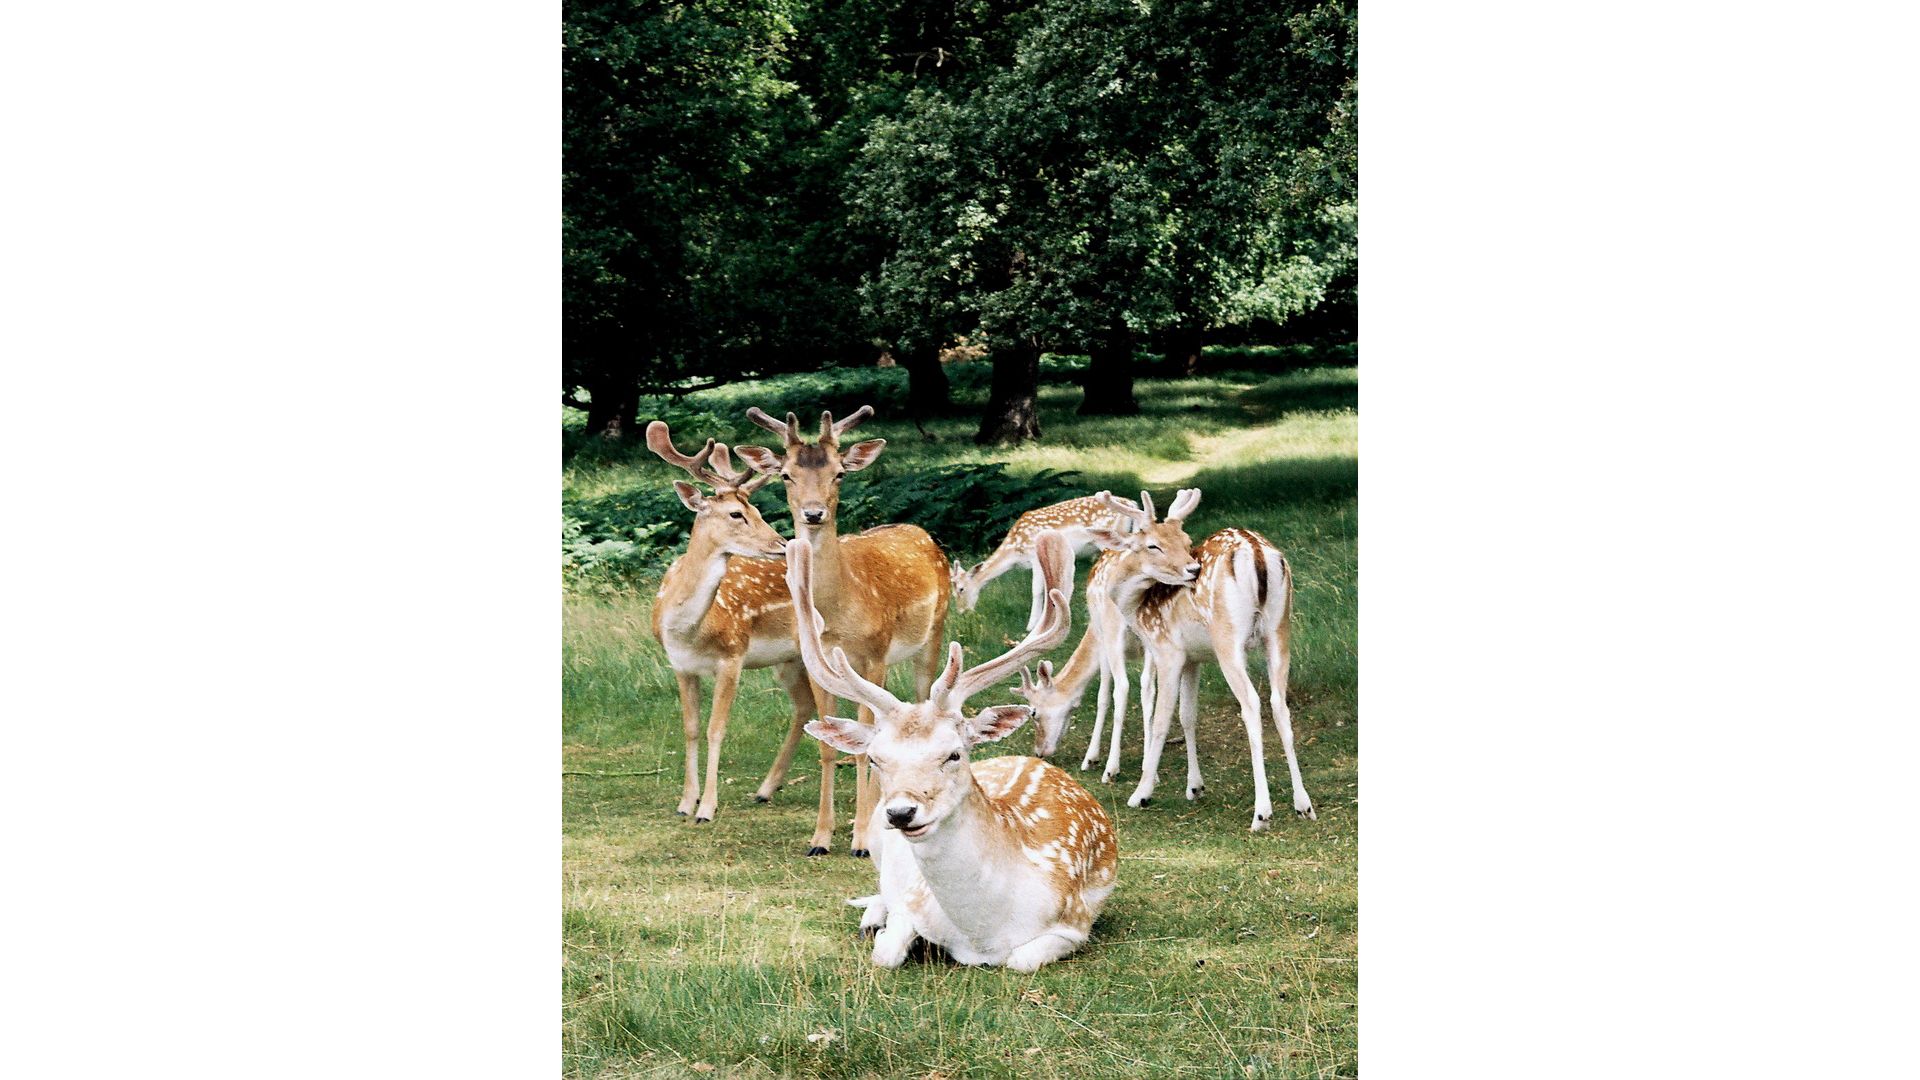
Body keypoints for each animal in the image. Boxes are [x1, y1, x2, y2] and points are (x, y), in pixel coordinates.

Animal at [643, 422, 853, 855]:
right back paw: (765, 788)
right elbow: (690, 727)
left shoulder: (732, 657)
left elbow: (716, 729)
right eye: (736, 513)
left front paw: (707, 808)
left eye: (757, 510)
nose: (781, 543)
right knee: (804, 706)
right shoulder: (680, 666)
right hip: (789, 661)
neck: (687, 630)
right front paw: (685, 803)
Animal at [734, 405, 953, 858]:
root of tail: (922, 532)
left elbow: (865, 748)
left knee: (922, 696)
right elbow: (827, 745)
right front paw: (819, 838)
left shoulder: (874, 655)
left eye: (838, 473)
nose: (813, 513)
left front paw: (861, 841)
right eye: (786, 475)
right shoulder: (819, 666)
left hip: (934, 630)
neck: (837, 614)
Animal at [786, 530, 1119, 972]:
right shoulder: (912, 899)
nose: (901, 812)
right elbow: (887, 951)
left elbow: (1022, 959)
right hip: (875, 839)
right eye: (876, 758)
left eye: (955, 753)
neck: (983, 933)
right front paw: (883, 930)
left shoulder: (1074, 923)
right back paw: (871, 915)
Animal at [951, 494, 1145, 631]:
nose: (961, 612)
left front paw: (1031, 626)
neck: (1015, 550)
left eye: (961, 589)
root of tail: (1132, 503)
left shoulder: (1034, 556)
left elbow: (1037, 589)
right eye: (952, 593)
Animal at [1088, 489, 1316, 830]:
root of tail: (1257, 551)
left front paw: (1142, 792)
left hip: (1228, 637)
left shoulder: (1167, 650)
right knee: (1279, 702)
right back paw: (1303, 805)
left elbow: (1161, 719)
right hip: (1280, 628)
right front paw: (1194, 787)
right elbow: (1187, 716)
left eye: (1185, 540)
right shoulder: (1193, 658)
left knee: (1252, 703)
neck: (1138, 609)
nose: (1192, 570)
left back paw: (1261, 813)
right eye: (1153, 544)